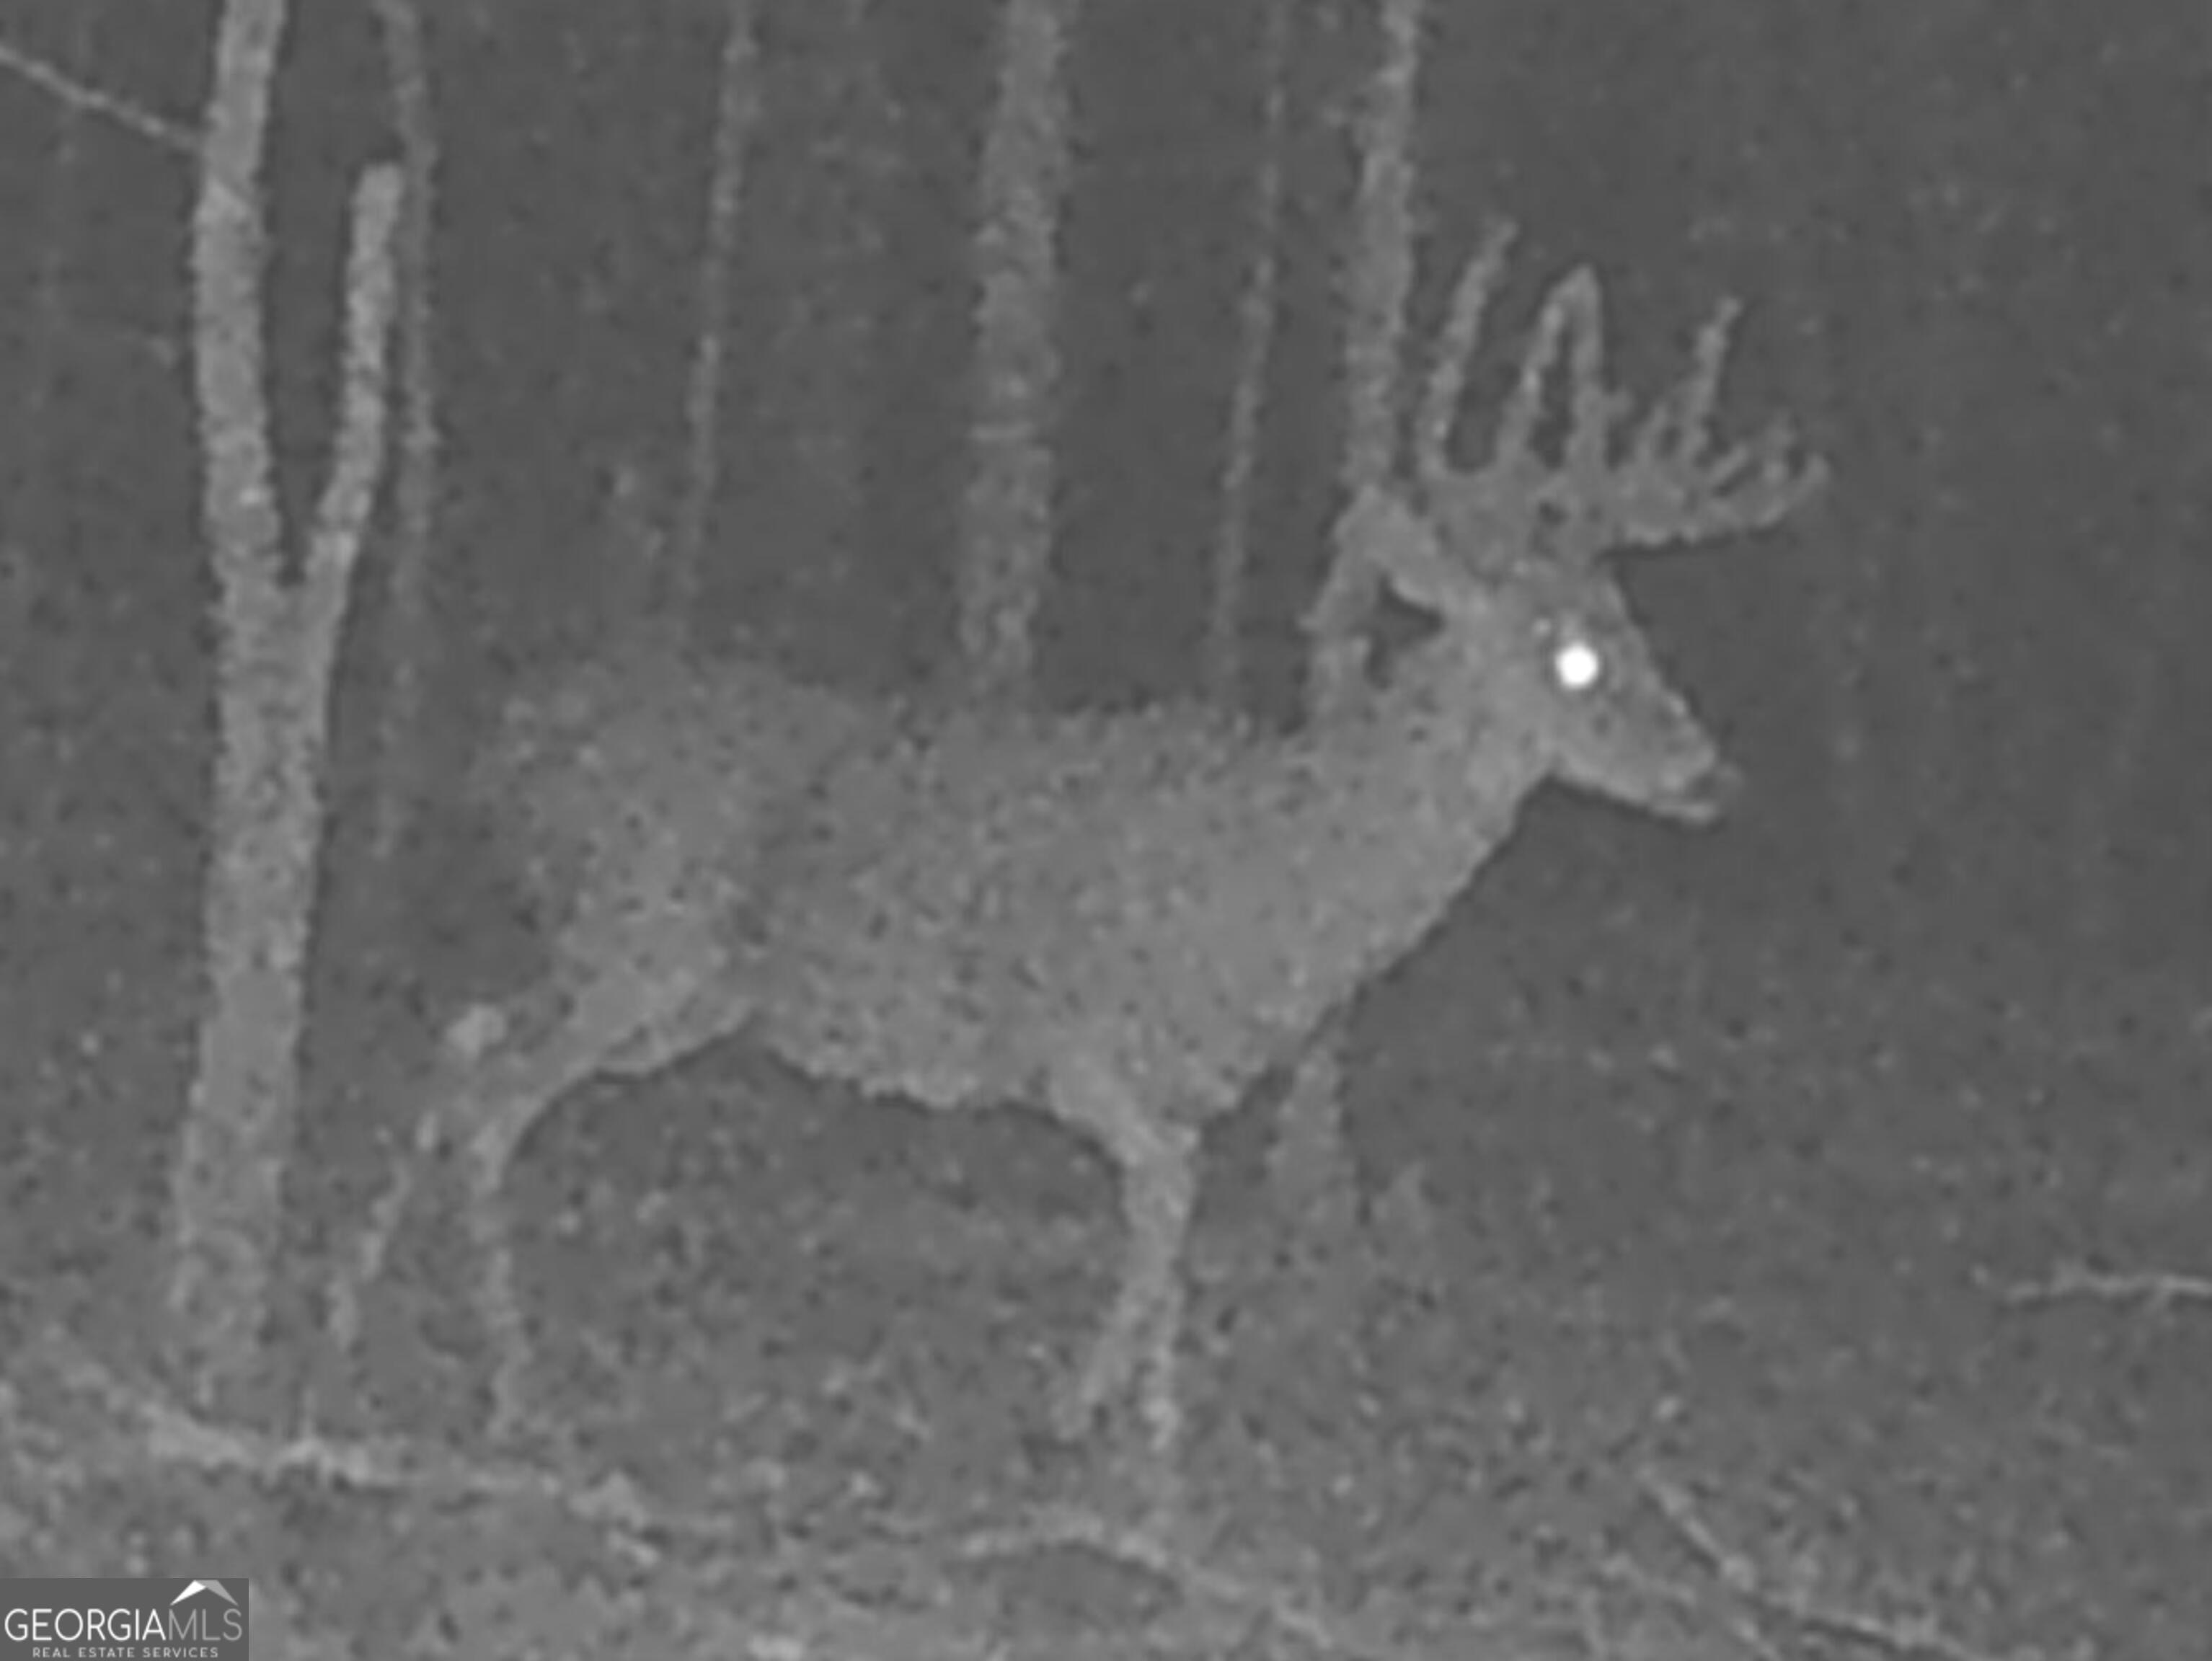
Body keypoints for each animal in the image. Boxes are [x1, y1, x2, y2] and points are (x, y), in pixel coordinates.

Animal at [336, 232, 1821, 1537]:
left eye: (1639, 632)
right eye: (1570, 654)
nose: (1714, 775)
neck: (1289, 892)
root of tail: (518, 733)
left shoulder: (1188, 1074)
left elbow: (1174, 1219)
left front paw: (1147, 1461)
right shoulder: (1071, 1035)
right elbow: (1165, 1195)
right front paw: (1083, 1425)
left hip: (669, 991)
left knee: (462, 1032)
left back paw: (367, 1298)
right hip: (641, 938)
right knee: (492, 1089)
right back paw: (515, 1390)